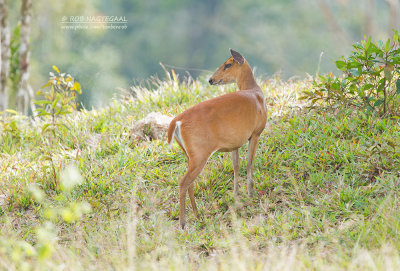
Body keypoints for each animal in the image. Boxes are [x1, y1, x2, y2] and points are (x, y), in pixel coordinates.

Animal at [167, 49, 268, 230]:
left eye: (227, 64)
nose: (210, 79)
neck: (255, 93)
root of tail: (177, 121)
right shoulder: (256, 133)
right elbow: (249, 163)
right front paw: (250, 193)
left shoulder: (235, 142)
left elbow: (236, 166)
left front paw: (236, 194)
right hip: (200, 153)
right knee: (183, 182)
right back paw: (183, 223)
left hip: (189, 153)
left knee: (190, 182)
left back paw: (197, 214)